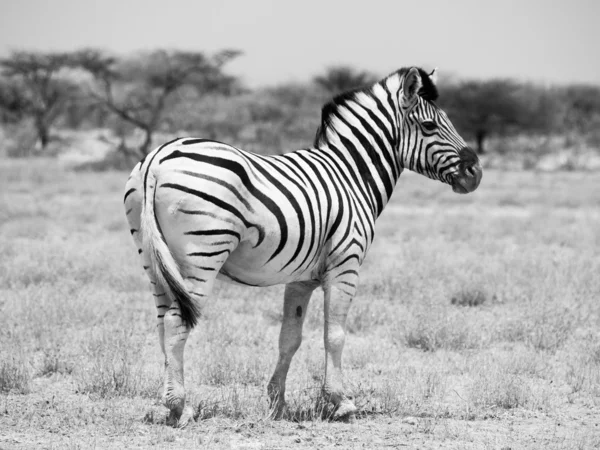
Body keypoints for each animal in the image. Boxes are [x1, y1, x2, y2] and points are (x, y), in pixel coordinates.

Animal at [123, 66, 482, 426]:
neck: (352, 176)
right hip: (202, 254)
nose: (475, 172)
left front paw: (277, 403)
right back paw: (180, 406)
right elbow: (334, 335)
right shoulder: (346, 264)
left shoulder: (301, 278)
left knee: (162, 322)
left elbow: (289, 338)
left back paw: (170, 403)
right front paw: (341, 401)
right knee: (176, 321)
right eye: (430, 126)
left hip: (153, 258)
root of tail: (158, 157)